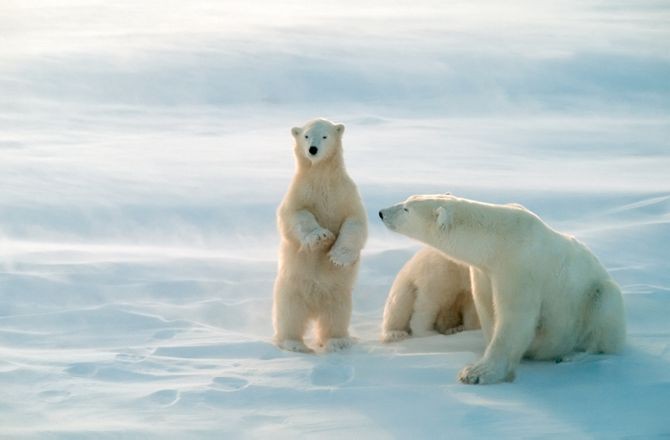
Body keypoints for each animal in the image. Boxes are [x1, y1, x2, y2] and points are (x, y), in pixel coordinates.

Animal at [272, 117, 368, 354]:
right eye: (306, 135)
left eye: (324, 136)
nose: (312, 150)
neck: (322, 176)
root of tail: (314, 307)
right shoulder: (300, 192)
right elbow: (295, 215)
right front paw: (320, 237)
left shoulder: (344, 194)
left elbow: (355, 222)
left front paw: (337, 256)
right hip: (290, 290)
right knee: (290, 317)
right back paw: (294, 344)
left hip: (339, 294)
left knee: (335, 317)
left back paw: (338, 341)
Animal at [380, 194, 628, 384]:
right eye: (408, 199)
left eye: (406, 208)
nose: (381, 212)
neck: (498, 239)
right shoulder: (484, 271)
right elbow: (486, 308)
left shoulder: (519, 267)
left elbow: (514, 318)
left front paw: (477, 372)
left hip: (596, 295)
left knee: (604, 314)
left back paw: (572, 356)